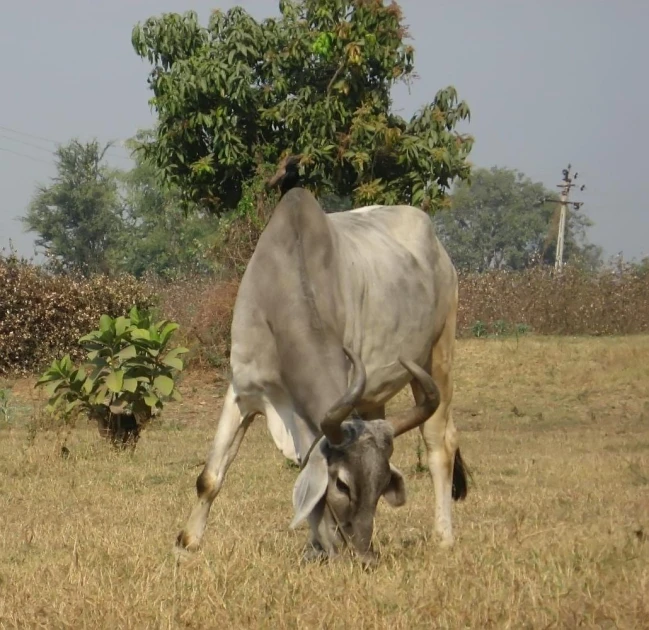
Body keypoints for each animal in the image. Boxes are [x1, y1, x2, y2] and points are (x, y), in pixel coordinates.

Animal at [177, 159, 468, 568]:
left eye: (381, 487)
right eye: (342, 483)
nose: (364, 556)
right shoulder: (242, 391)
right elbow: (211, 477)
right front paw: (187, 543)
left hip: (440, 352)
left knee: (440, 444)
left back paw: (443, 537)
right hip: (377, 394)